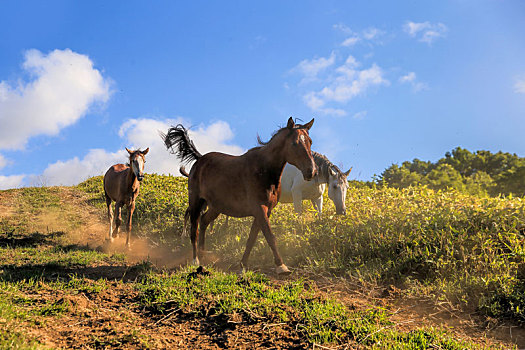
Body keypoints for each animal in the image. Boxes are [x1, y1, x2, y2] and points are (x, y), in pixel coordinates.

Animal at [161, 117, 316, 274]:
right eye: (294, 143)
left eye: (310, 141)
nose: (312, 171)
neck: (264, 170)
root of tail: (199, 159)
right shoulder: (259, 208)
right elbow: (269, 235)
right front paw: (281, 265)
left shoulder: (266, 210)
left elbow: (252, 238)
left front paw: (242, 265)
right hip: (196, 202)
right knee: (194, 229)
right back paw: (195, 259)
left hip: (216, 206)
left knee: (204, 221)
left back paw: (203, 253)